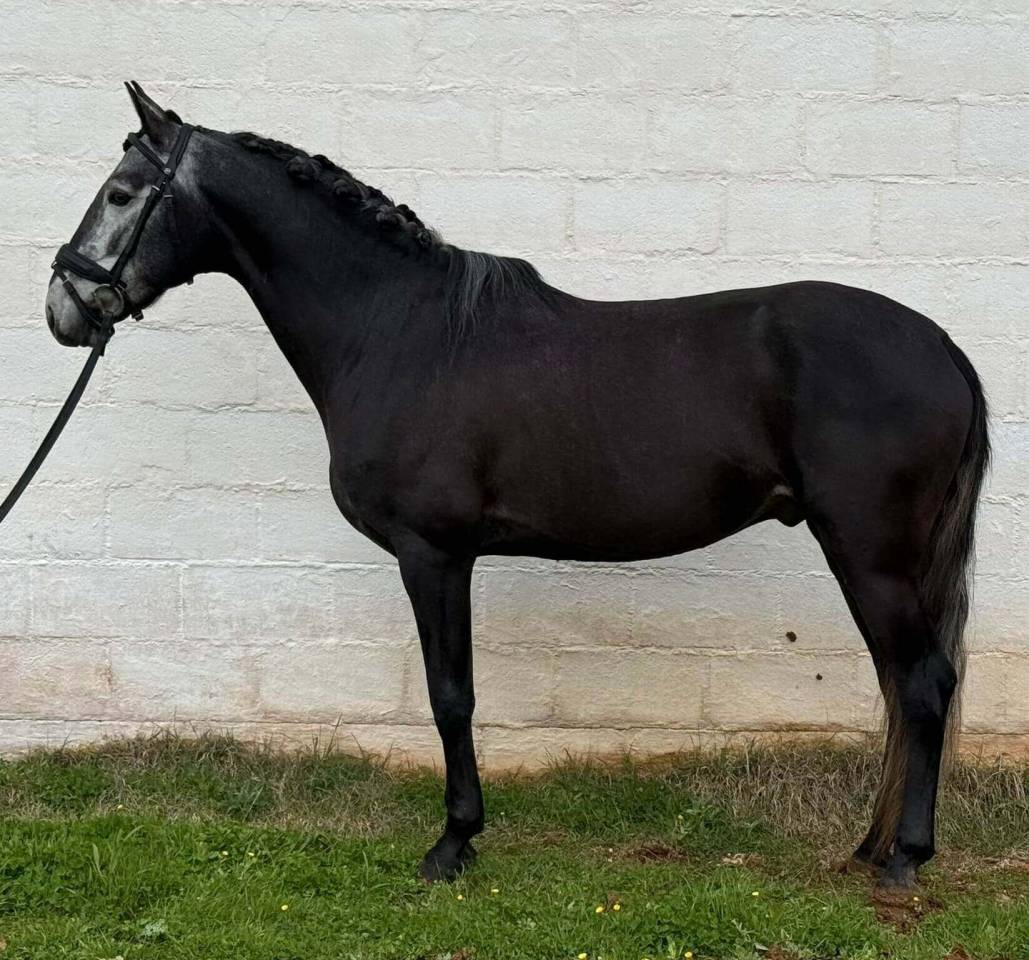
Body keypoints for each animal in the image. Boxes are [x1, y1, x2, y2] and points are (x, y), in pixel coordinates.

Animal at [44, 83, 989, 891]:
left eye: (123, 193)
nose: (64, 308)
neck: (400, 331)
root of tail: (939, 344)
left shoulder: (432, 553)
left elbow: (449, 696)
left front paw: (451, 843)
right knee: (897, 686)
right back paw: (870, 846)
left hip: (868, 552)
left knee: (921, 684)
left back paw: (905, 858)